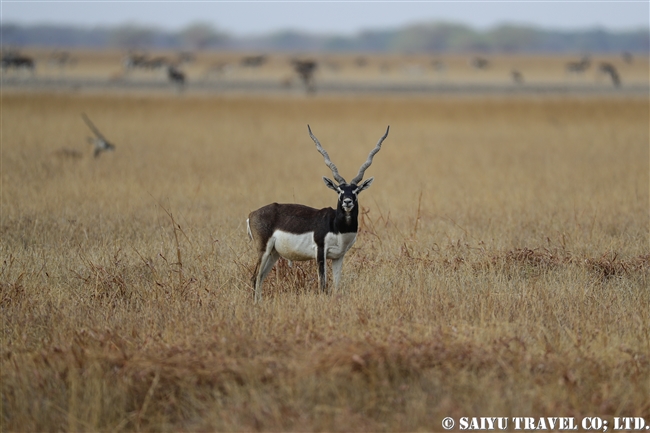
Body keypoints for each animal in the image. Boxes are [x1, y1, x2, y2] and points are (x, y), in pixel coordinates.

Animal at [247, 125, 390, 302]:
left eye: (356, 191)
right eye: (339, 190)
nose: (347, 202)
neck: (338, 227)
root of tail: (252, 214)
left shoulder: (338, 257)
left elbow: (336, 285)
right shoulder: (320, 252)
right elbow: (323, 285)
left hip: (274, 254)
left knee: (260, 278)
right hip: (263, 250)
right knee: (254, 277)